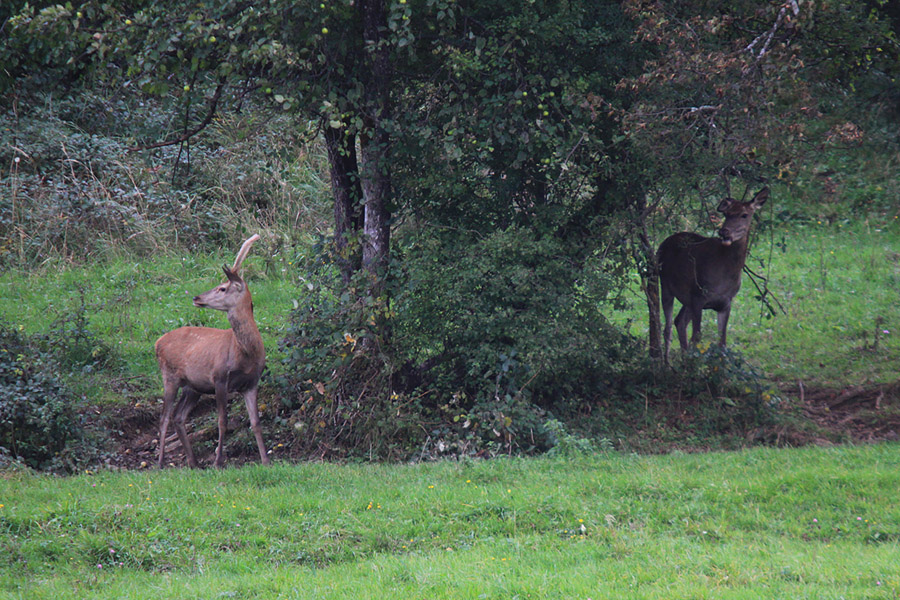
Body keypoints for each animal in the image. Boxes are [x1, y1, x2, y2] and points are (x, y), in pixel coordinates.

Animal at [155, 236, 268, 468]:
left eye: (222, 288)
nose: (196, 297)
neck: (245, 353)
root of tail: (157, 343)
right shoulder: (219, 377)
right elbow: (222, 421)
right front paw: (218, 461)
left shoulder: (252, 382)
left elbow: (256, 422)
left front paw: (266, 460)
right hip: (169, 376)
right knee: (164, 418)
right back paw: (160, 463)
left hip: (192, 386)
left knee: (178, 417)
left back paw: (194, 462)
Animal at [656, 186, 768, 360]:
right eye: (726, 213)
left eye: (744, 214)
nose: (724, 231)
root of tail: (663, 243)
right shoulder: (698, 296)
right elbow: (697, 337)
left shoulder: (726, 302)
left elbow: (722, 341)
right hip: (666, 284)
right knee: (667, 328)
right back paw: (667, 363)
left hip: (687, 297)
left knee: (679, 321)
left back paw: (682, 357)